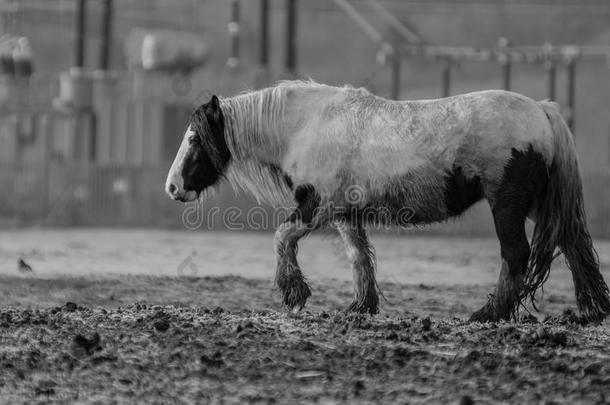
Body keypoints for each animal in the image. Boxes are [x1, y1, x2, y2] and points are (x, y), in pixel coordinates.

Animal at [164, 79, 608, 322]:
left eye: (194, 138)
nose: (172, 187)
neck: (305, 125)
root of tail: (543, 111)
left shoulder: (316, 206)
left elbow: (281, 237)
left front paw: (294, 294)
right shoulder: (346, 214)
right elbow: (359, 258)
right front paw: (360, 307)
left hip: (508, 206)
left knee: (516, 255)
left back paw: (488, 314)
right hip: (539, 204)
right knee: (574, 245)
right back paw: (592, 310)